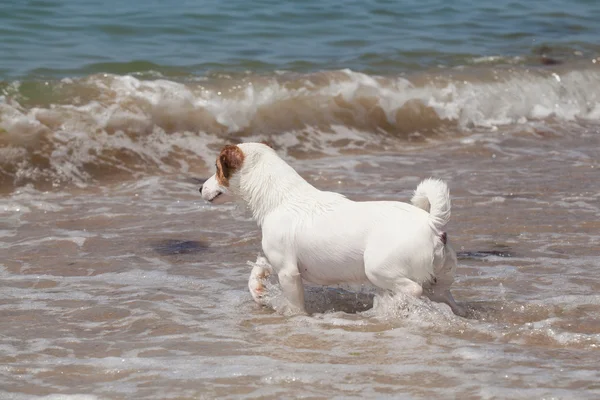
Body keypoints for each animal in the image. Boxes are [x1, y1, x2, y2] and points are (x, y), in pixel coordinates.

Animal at [199, 143, 466, 316]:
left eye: (217, 168)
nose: (199, 188)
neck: (281, 198)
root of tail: (431, 224)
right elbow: (256, 276)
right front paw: (258, 288)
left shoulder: (288, 272)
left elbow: (295, 307)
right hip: (440, 284)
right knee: (447, 300)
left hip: (377, 269)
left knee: (413, 289)